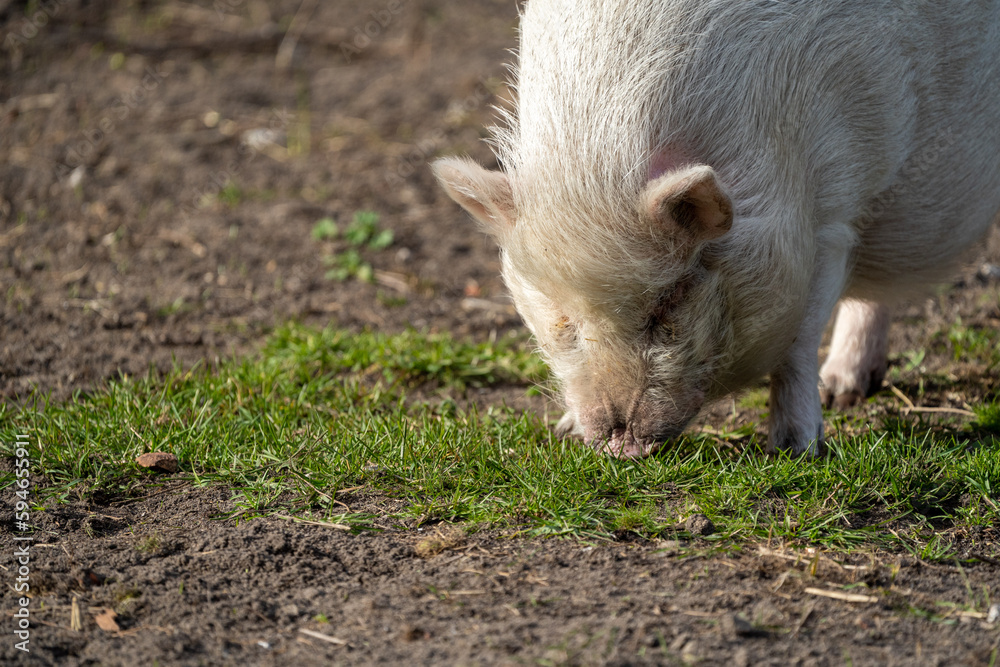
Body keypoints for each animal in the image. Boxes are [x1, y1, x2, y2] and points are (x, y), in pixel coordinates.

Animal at [433, 0, 1000, 457]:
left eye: (668, 302)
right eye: (563, 317)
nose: (618, 447)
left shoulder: (831, 215)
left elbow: (798, 343)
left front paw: (796, 449)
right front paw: (565, 432)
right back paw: (847, 392)